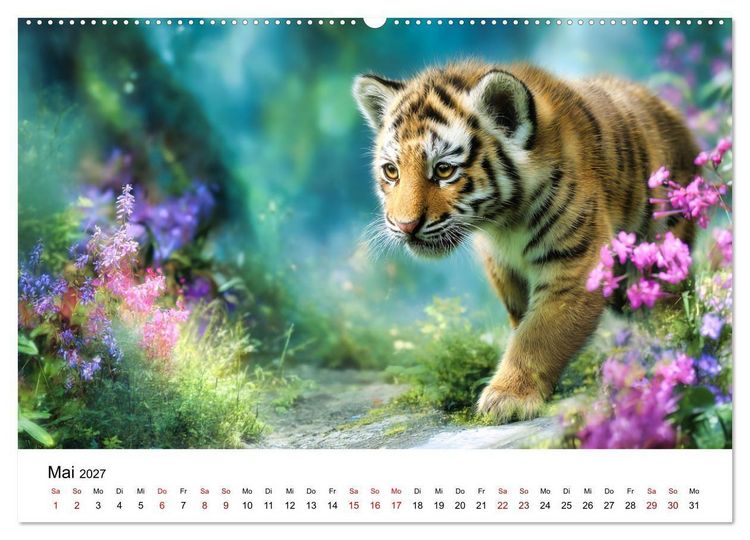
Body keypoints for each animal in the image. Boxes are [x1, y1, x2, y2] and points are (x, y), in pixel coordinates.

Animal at [353, 60, 698, 422]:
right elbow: (522, 324)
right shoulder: (503, 269)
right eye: (392, 172)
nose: (405, 226)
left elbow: (538, 335)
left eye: (445, 170)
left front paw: (508, 397)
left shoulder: (575, 266)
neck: (503, 222)